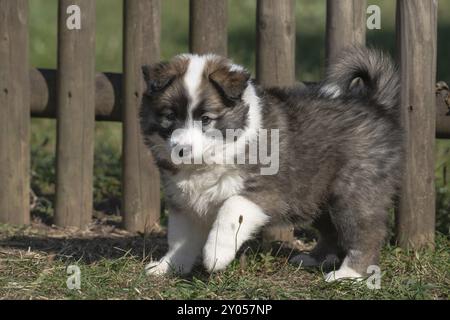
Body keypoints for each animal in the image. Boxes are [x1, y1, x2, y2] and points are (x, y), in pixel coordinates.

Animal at [139, 46, 402, 282]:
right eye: (169, 116)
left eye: (206, 119)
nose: (181, 150)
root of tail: (375, 104)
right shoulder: (184, 202)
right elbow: (179, 239)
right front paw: (168, 267)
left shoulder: (265, 191)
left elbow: (231, 209)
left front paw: (215, 255)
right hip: (313, 194)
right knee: (331, 231)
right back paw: (314, 258)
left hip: (353, 192)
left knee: (366, 233)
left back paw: (350, 274)